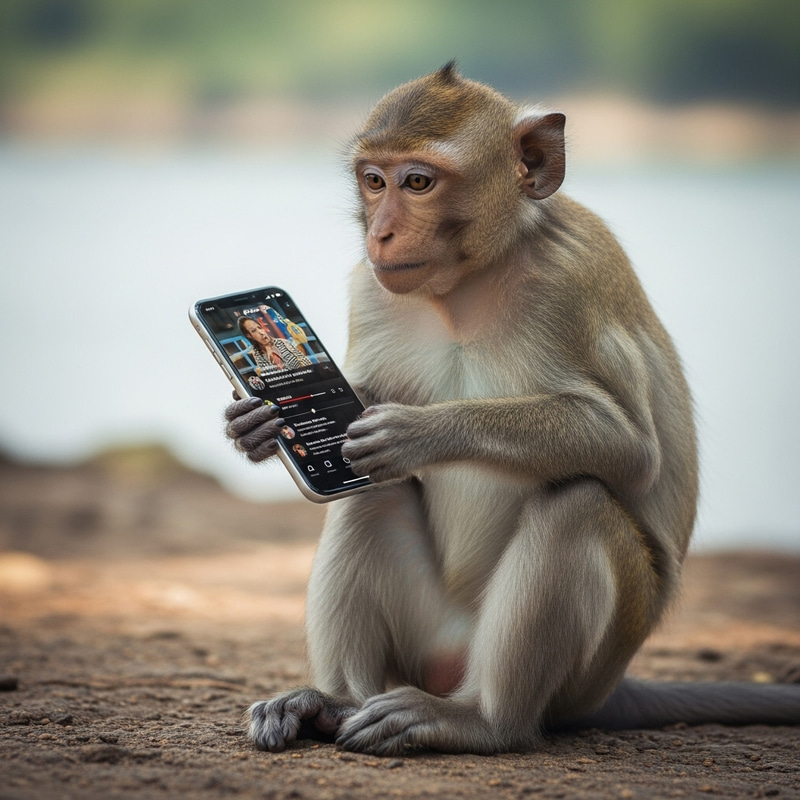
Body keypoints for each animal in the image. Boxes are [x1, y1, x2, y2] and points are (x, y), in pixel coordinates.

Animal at [223, 63, 800, 756]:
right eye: (374, 180)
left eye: (418, 182)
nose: (380, 231)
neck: (468, 284)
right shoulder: (370, 287)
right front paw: (254, 426)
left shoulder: (571, 280)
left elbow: (630, 450)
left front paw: (419, 432)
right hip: (427, 637)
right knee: (370, 495)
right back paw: (332, 702)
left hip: (586, 667)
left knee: (577, 505)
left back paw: (482, 721)